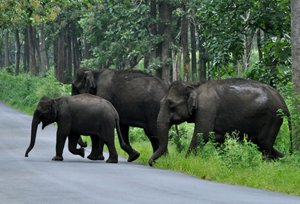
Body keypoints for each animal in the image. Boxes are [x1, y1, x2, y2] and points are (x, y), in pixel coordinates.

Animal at [149, 78, 292, 166]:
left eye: (171, 104)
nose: (151, 163)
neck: (194, 85)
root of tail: (283, 102)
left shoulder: (207, 108)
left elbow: (202, 135)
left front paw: (186, 162)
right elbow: (217, 139)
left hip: (273, 118)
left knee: (264, 145)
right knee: (264, 145)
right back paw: (285, 162)